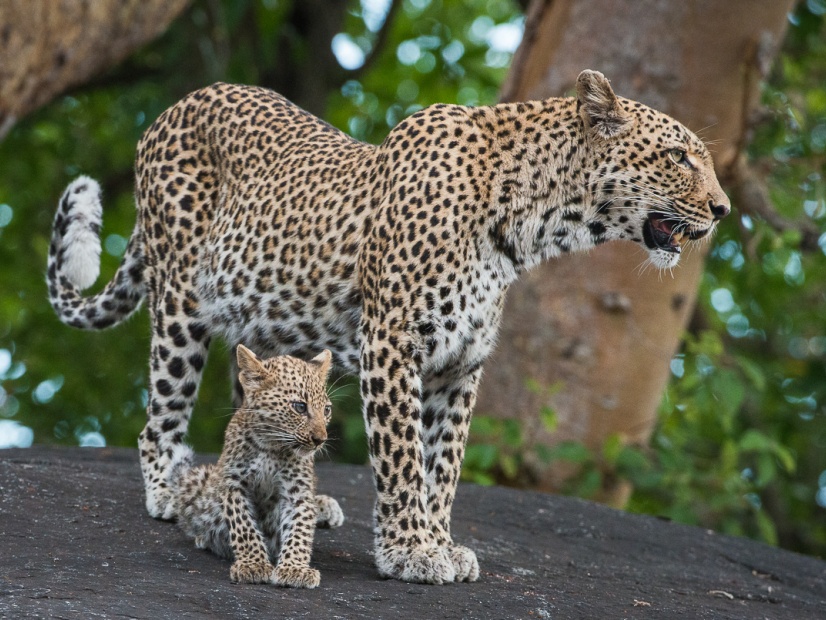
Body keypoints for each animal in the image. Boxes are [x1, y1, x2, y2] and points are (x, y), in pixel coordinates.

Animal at [164, 345, 341, 588]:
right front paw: (253, 565)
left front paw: (295, 569)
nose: (320, 440)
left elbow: (300, 527)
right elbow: (244, 526)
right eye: (300, 407)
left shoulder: (298, 490)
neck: (271, 446)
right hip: (198, 480)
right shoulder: (233, 483)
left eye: (326, 410)